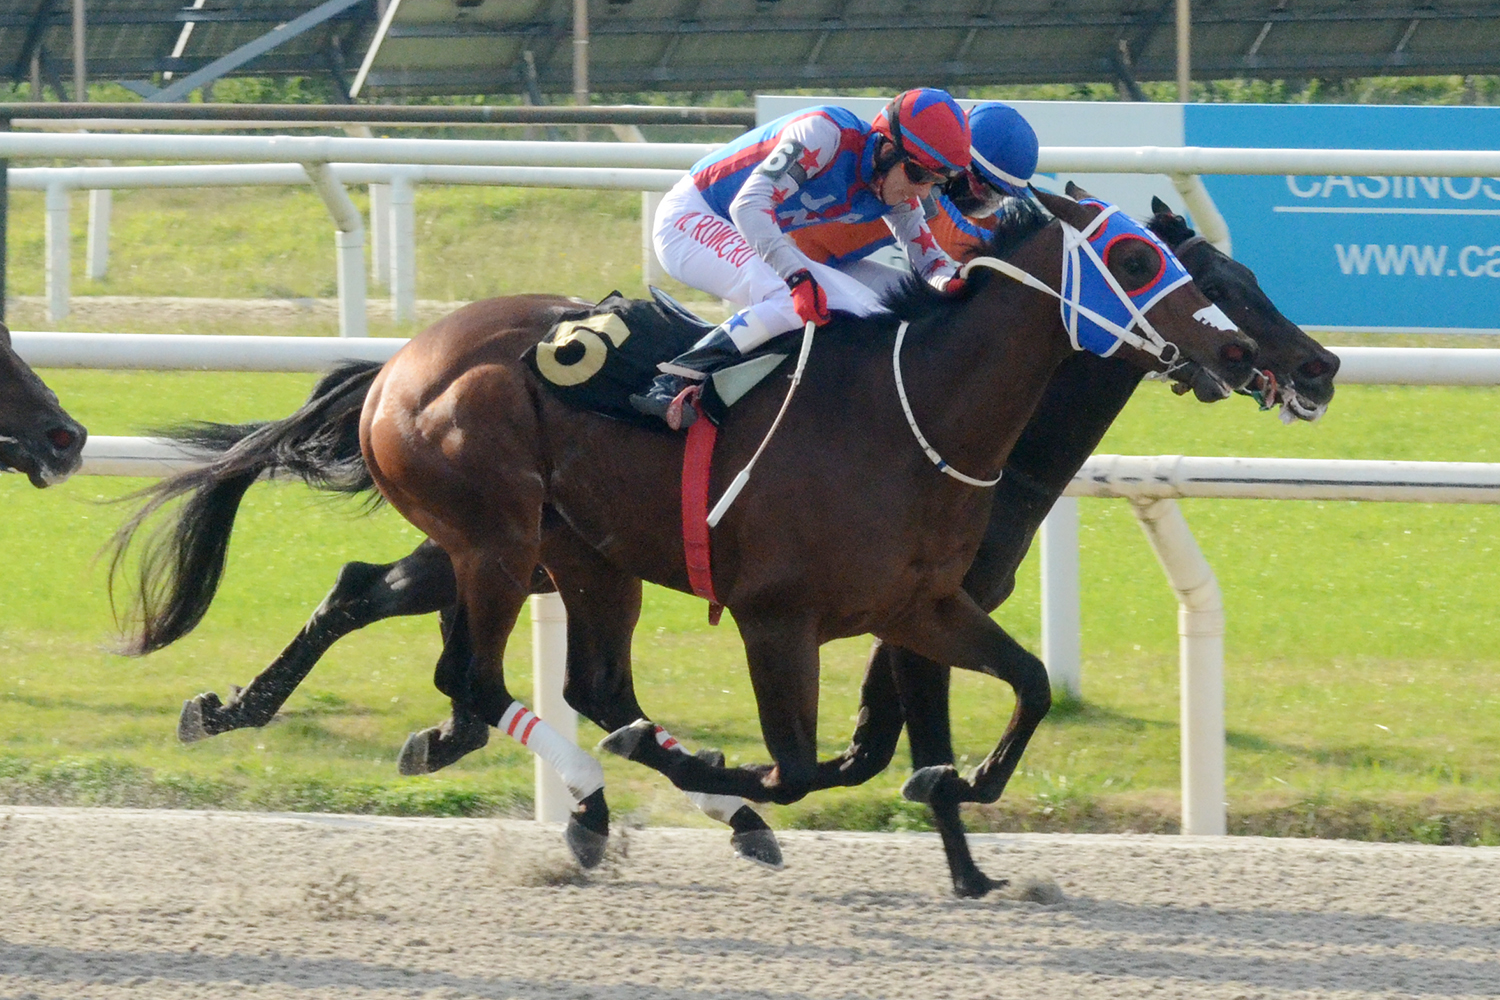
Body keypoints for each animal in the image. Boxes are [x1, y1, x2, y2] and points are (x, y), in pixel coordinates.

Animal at [109, 187, 1260, 893]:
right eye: (1134, 256)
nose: (1258, 357)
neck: (915, 413)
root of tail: (399, 362)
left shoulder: (923, 604)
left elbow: (1017, 687)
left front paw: (962, 805)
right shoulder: (776, 616)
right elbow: (800, 766)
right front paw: (741, 783)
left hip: (577, 556)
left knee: (513, 661)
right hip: (498, 535)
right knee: (478, 679)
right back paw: (584, 787)